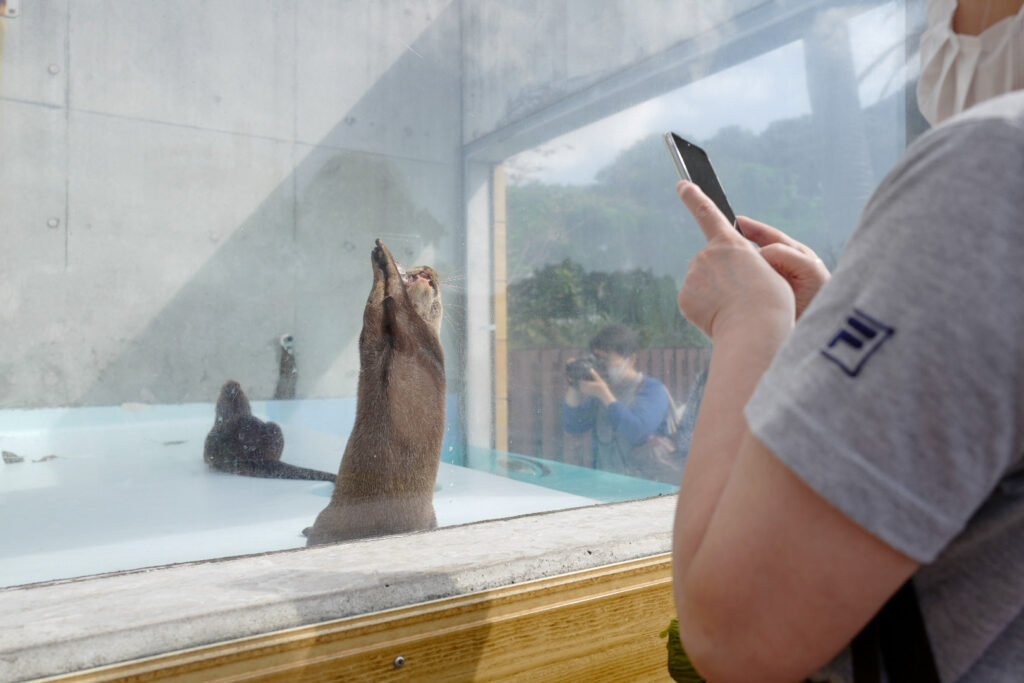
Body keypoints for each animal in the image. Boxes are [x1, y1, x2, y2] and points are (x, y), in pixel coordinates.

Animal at [305, 240, 446, 544]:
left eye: (438, 302)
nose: (428, 269)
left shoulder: (422, 345)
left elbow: (400, 310)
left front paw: (387, 265)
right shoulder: (373, 343)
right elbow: (373, 312)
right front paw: (382, 266)